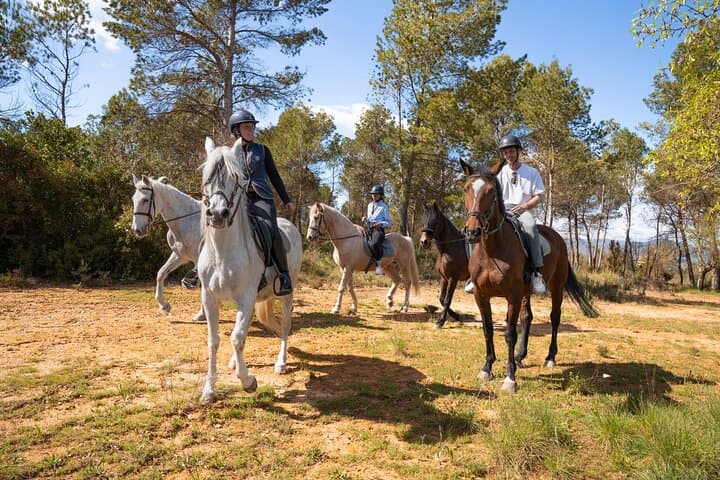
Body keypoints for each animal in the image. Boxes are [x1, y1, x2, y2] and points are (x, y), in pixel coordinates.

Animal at [131, 175, 204, 321]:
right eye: (133, 199)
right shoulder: (180, 255)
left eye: (145, 200)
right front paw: (164, 306)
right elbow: (161, 273)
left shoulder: (198, 257)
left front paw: (201, 314)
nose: (137, 230)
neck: (187, 221)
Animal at [197, 137, 303, 404]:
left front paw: (248, 382)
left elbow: (236, 337)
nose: (217, 214)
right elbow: (215, 341)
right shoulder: (209, 298)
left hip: (287, 292)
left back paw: (281, 363)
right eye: (206, 178)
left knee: (285, 325)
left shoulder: (246, 297)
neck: (222, 252)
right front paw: (208, 390)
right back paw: (235, 362)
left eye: (236, 179)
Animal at [460, 159, 598, 393]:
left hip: (556, 287)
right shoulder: (481, 295)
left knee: (554, 318)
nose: (473, 232)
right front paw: (487, 368)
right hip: (526, 292)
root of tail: (558, 238)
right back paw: (520, 356)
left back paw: (550, 357)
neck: (492, 251)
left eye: (491, 191)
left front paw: (510, 378)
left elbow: (509, 333)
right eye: (467, 189)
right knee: (527, 318)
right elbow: (488, 330)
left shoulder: (513, 296)